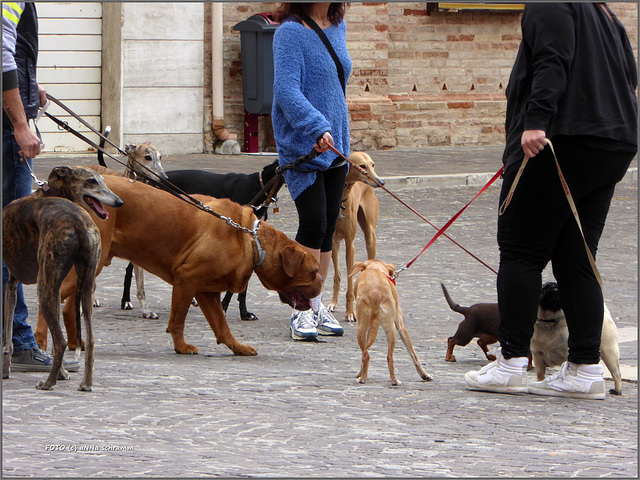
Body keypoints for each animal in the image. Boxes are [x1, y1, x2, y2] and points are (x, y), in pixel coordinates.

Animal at [37, 172, 322, 356]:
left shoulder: (206, 291)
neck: (250, 237)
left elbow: (222, 326)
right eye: (314, 271)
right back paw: (42, 343)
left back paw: (75, 343)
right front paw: (181, 346)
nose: (321, 284)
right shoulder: (187, 279)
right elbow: (178, 319)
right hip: (91, 265)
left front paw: (237, 347)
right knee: (50, 298)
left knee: (65, 307)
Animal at [350, 258, 436, 386]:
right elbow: (413, 354)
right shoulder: (400, 327)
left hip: (361, 328)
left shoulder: (370, 328)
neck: (375, 269)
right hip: (390, 329)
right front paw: (424, 374)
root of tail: (375, 294)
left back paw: (363, 378)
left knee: (366, 355)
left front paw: (361, 373)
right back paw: (394, 380)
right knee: (389, 356)